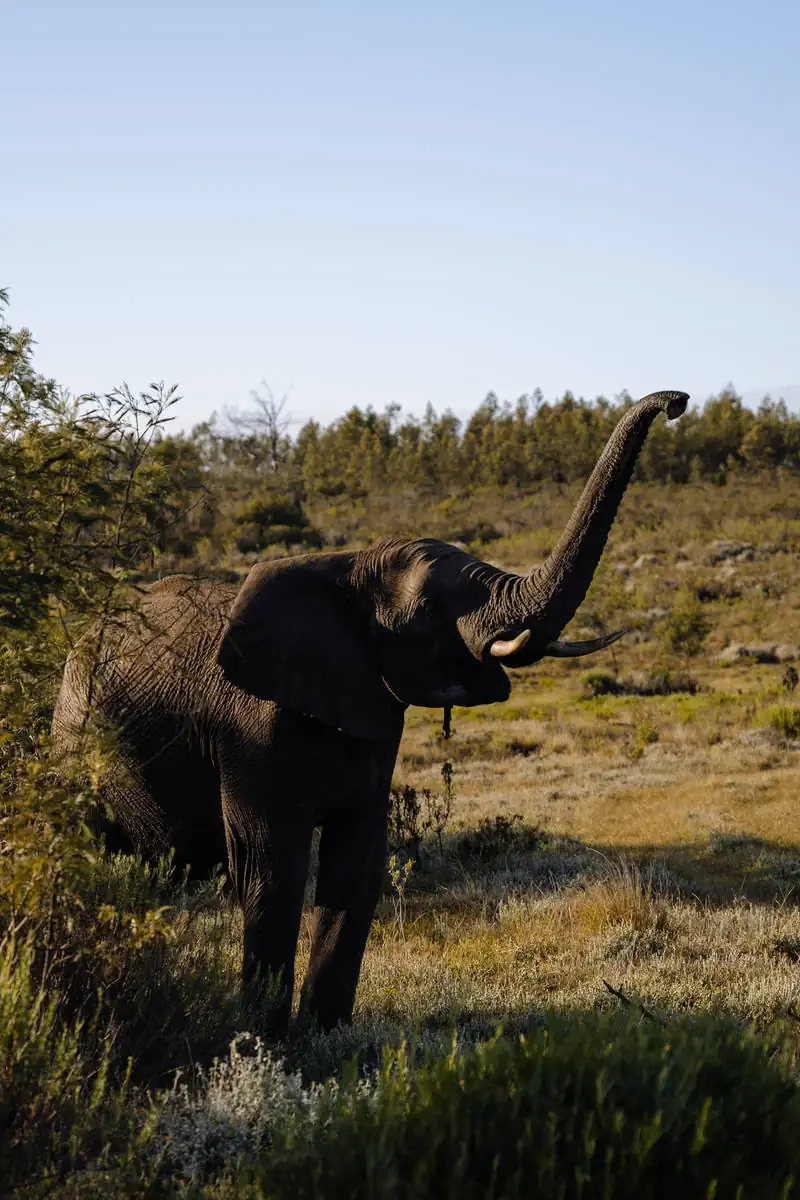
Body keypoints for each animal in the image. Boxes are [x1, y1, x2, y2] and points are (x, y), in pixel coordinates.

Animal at [51, 388, 690, 1027]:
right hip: (78, 742)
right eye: (430, 608)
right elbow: (271, 867)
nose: (678, 403)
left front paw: (325, 1032)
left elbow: (357, 862)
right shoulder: (249, 729)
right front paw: (263, 1038)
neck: (346, 567)